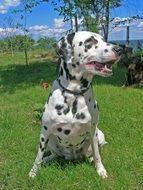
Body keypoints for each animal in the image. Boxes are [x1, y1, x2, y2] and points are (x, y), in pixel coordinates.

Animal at [28, 30, 122, 178]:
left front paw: (100, 169)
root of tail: (72, 157)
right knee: (54, 155)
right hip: (51, 139)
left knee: (93, 152)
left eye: (103, 39)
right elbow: (38, 156)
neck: (74, 93)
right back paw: (47, 159)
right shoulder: (45, 131)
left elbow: (97, 155)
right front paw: (33, 172)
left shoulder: (93, 130)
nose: (119, 49)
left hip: (98, 134)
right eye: (89, 41)